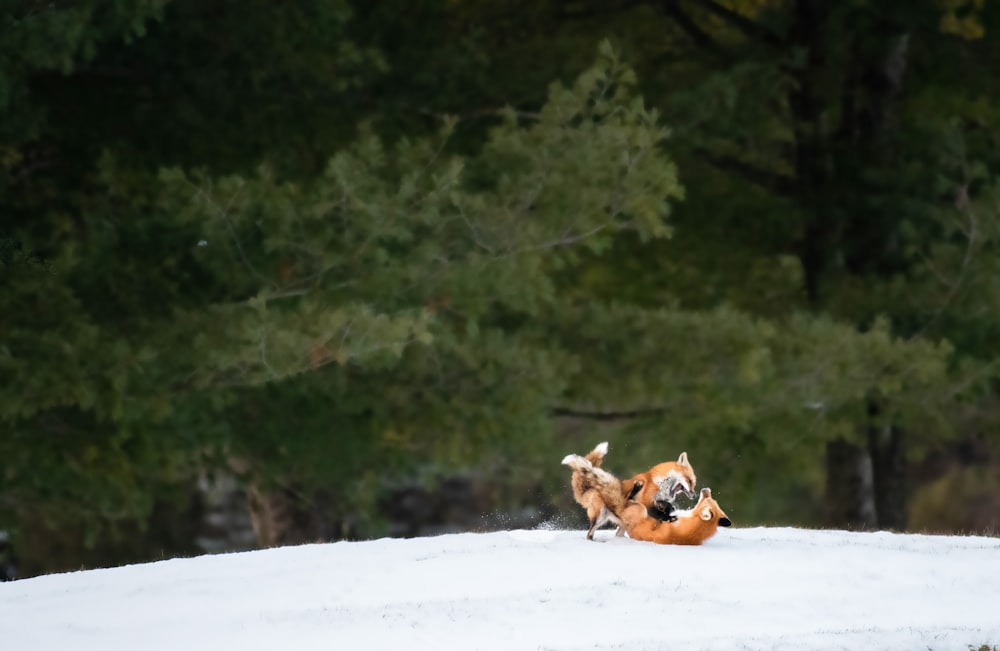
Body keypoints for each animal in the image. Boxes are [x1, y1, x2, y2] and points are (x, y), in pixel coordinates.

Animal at [564, 444, 696, 540]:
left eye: (694, 484)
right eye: (690, 481)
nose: (694, 495)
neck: (659, 484)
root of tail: (590, 489)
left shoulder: (660, 500)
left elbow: (667, 506)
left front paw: (668, 512)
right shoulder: (646, 502)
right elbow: (657, 513)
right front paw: (669, 518)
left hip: (619, 522)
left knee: (617, 533)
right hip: (600, 516)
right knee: (589, 535)